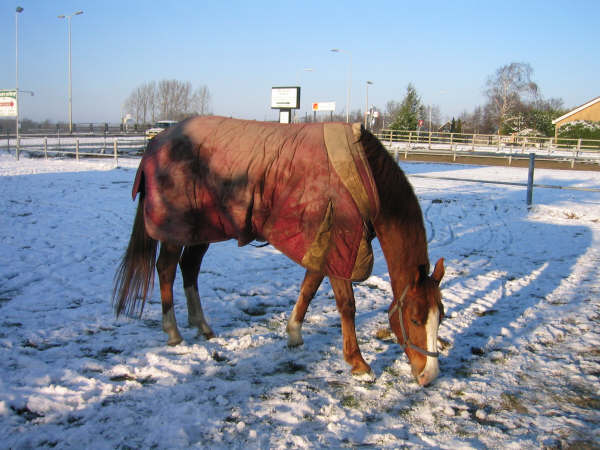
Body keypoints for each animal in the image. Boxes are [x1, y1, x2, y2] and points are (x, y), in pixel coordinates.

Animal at [112, 117, 442, 386]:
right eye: (415, 320)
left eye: (440, 317)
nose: (428, 376)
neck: (363, 178)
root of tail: (157, 141)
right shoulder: (340, 246)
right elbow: (347, 305)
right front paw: (358, 363)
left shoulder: (320, 245)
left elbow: (308, 288)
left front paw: (294, 332)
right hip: (175, 230)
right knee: (166, 269)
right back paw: (173, 331)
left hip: (201, 230)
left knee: (189, 268)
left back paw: (202, 326)